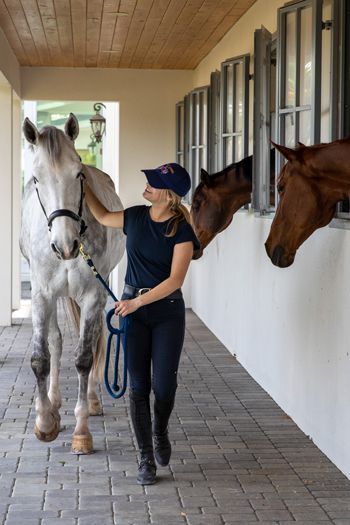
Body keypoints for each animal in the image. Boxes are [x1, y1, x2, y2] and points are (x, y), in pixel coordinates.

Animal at [19, 112, 125, 452]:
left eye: (78, 174)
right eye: (36, 179)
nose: (65, 245)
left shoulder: (93, 294)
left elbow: (84, 358)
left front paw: (82, 431)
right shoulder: (41, 295)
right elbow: (41, 358)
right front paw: (44, 422)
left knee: (95, 339)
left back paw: (91, 399)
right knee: (56, 340)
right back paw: (53, 402)